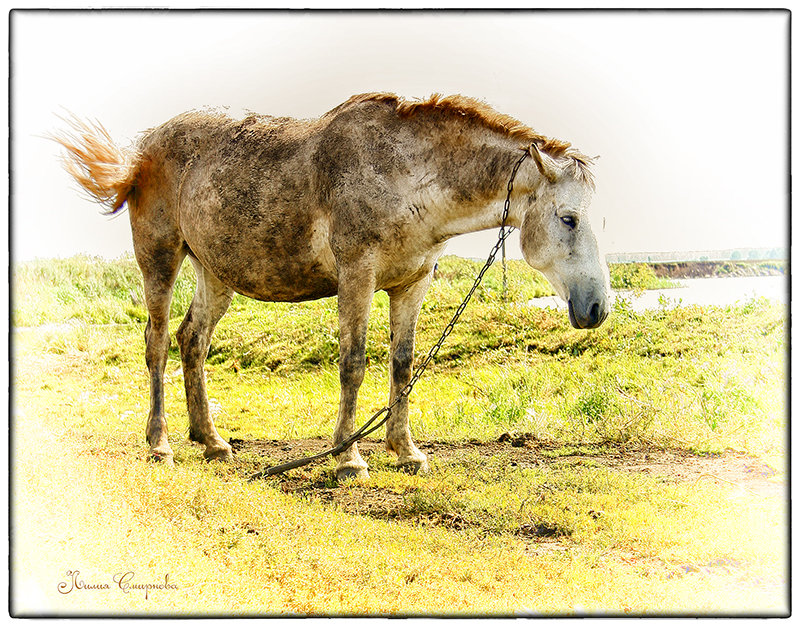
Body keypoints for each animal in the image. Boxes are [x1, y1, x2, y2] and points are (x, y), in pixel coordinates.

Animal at [53, 92, 608, 480]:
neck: (404, 174)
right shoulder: (357, 275)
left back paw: (212, 442)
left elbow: (402, 365)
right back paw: (160, 444)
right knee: (158, 343)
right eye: (568, 219)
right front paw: (348, 458)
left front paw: (406, 452)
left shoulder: (412, 284)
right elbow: (354, 365)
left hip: (215, 272)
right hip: (161, 257)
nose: (597, 308)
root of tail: (143, 151)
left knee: (193, 341)